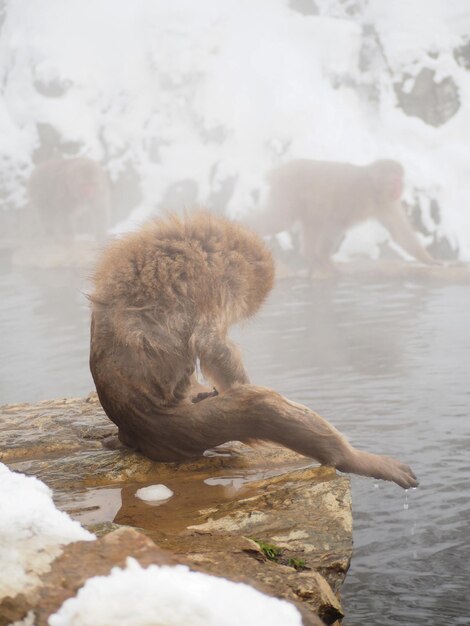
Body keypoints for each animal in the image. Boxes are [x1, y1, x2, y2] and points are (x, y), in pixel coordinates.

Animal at [89, 212, 418, 490]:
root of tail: (135, 432)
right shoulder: (216, 282)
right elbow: (210, 343)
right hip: (185, 427)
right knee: (262, 407)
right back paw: (353, 459)